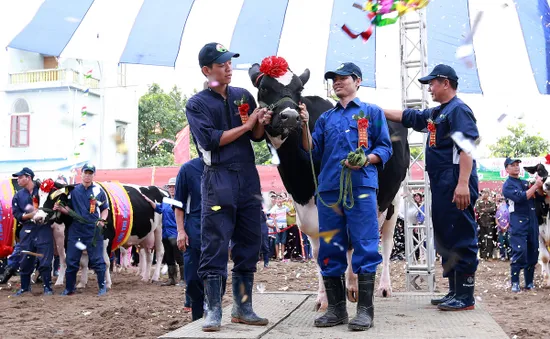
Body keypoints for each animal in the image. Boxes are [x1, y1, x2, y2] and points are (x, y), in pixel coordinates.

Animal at [33, 181, 167, 290]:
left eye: (54, 198)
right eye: (38, 197)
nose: (37, 218)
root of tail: (161, 191)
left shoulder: (106, 239)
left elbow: (106, 262)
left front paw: (107, 283)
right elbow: (83, 262)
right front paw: (82, 283)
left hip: (159, 231)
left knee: (160, 252)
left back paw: (155, 277)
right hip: (147, 236)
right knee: (149, 255)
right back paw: (145, 277)